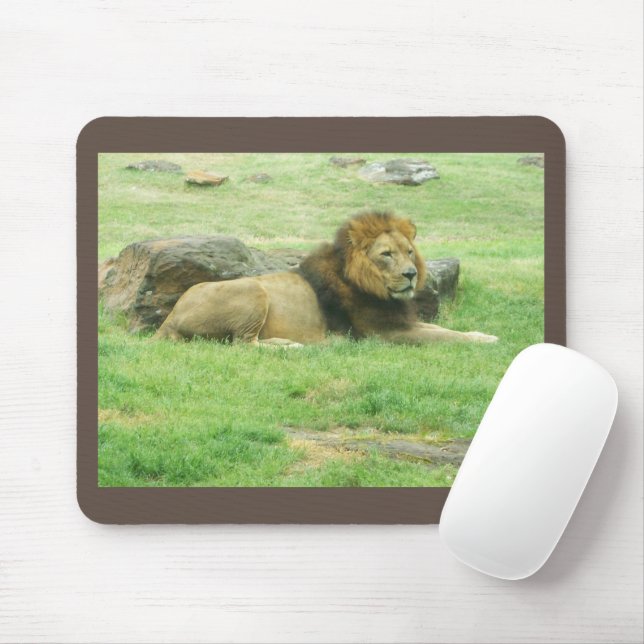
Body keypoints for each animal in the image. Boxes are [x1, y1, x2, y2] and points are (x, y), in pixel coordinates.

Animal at [153, 211, 498, 346]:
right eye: (386, 254)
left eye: (409, 252)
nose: (411, 275)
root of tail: (170, 316)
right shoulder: (385, 334)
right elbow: (445, 336)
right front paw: (482, 342)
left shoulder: (401, 322)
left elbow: (444, 329)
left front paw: (483, 334)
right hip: (253, 290)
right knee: (242, 343)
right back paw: (289, 345)